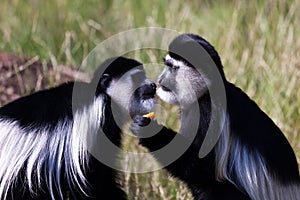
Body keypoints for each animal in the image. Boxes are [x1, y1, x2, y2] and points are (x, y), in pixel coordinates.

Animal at [132, 33, 300, 199]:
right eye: (167, 65)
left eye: (172, 68)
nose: (160, 80)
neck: (208, 91)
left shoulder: (207, 113)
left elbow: (200, 167)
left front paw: (149, 130)